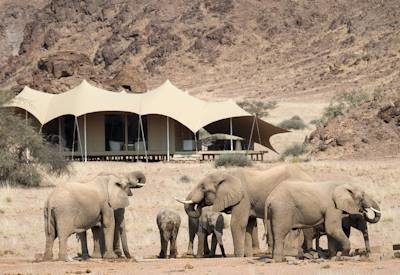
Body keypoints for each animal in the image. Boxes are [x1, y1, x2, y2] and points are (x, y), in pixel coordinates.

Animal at [176, 165, 312, 258]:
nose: (199, 205)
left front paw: (238, 256)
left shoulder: (243, 198)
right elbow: (248, 225)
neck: (226, 175)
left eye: (203, 188)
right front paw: (247, 255)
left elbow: (238, 224)